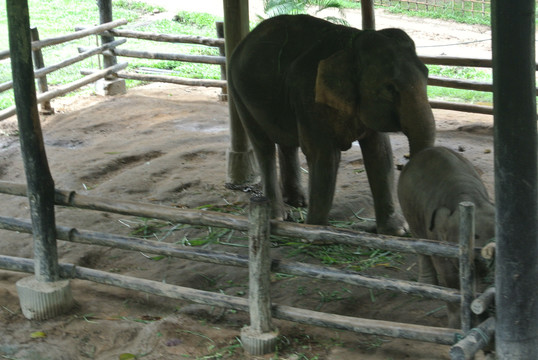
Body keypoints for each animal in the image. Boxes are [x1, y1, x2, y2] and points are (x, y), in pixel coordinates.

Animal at [228, 14, 434, 235]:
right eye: (390, 88)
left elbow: (380, 153)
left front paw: (395, 232)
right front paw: (316, 229)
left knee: (287, 143)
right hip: (239, 93)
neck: (350, 46)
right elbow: (324, 155)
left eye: (427, 74)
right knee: (263, 147)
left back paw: (298, 202)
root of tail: (245, 39)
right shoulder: (308, 95)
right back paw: (277, 215)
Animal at [396, 147, 492, 330]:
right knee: (420, 243)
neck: (469, 197)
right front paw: (457, 326)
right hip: (409, 210)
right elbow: (449, 276)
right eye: (474, 236)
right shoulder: (436, 235)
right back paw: (427, 285)